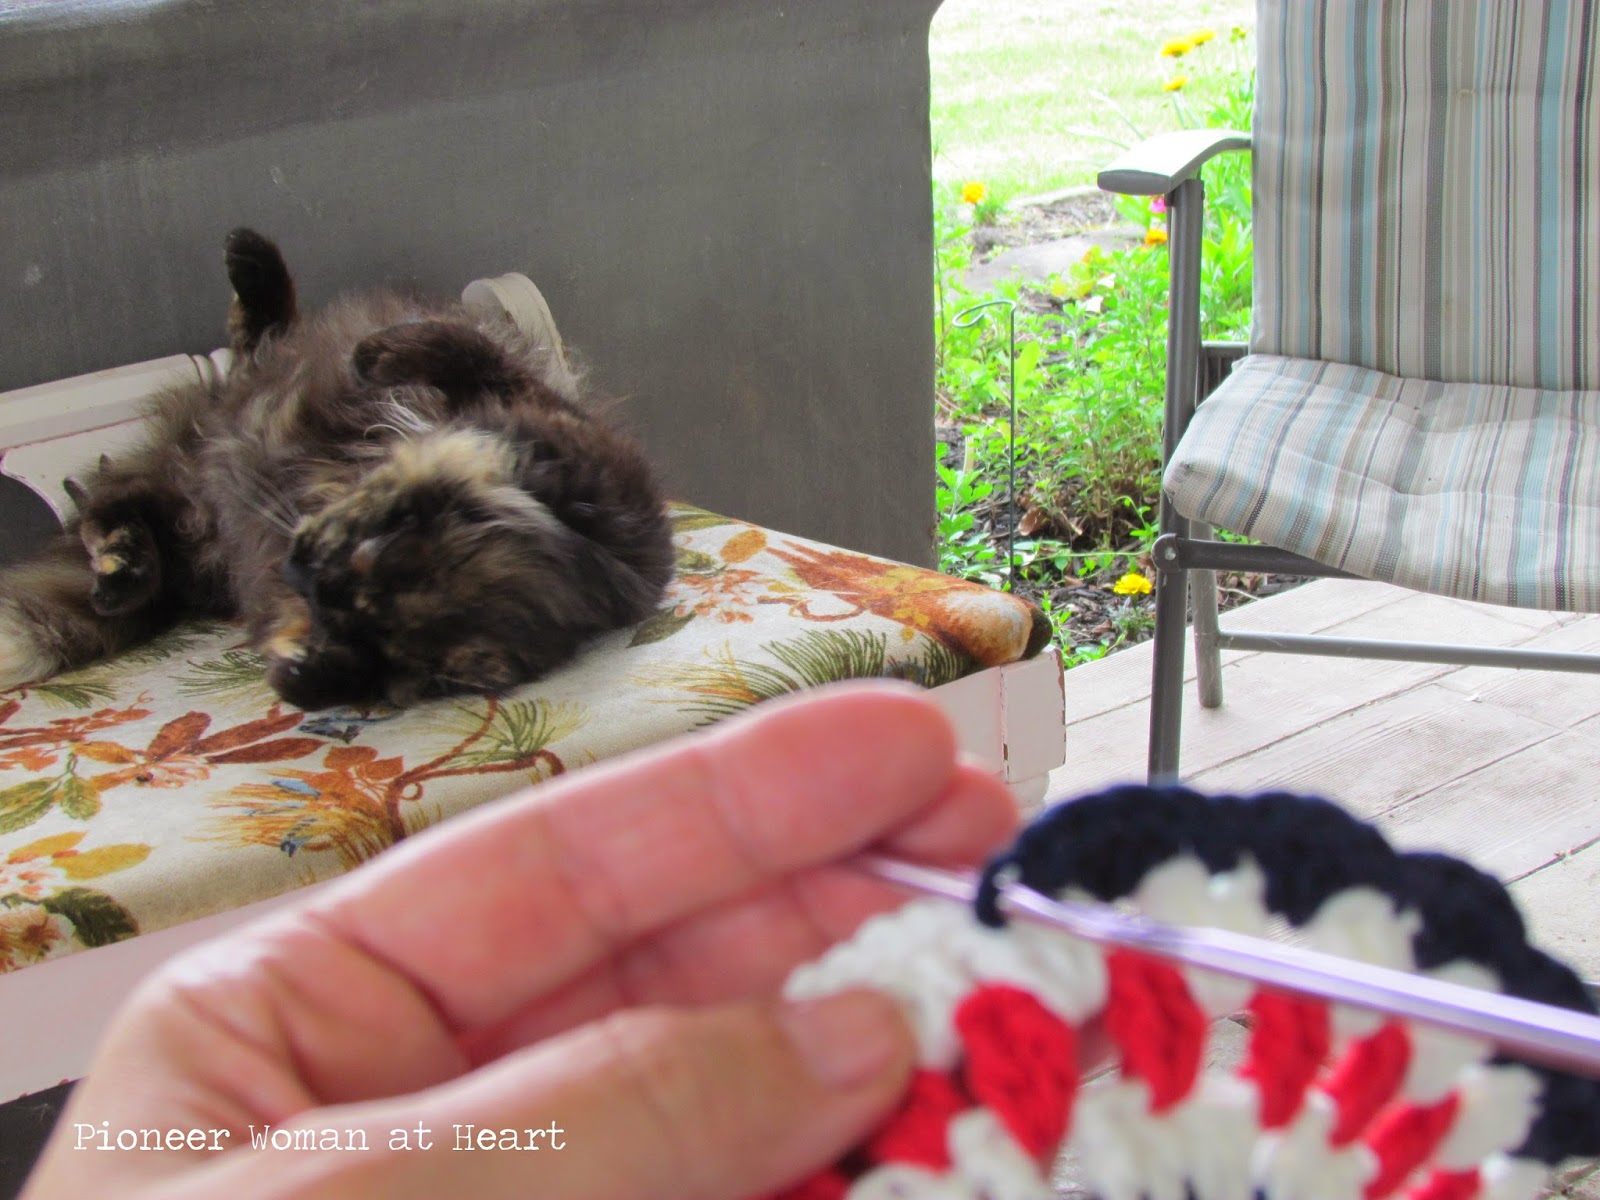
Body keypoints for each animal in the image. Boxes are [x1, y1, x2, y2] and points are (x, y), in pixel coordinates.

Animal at [0, 228, 675, 709]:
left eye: (355, 624)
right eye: (367, 545)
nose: (299, 571)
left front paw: (303, 673)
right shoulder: (543, 415)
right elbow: (453, 346)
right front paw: (376, 355)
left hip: (193, 528)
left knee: (126, 518)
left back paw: (122, 574)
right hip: (203, 455)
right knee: (254, 338)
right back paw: (253, 259)